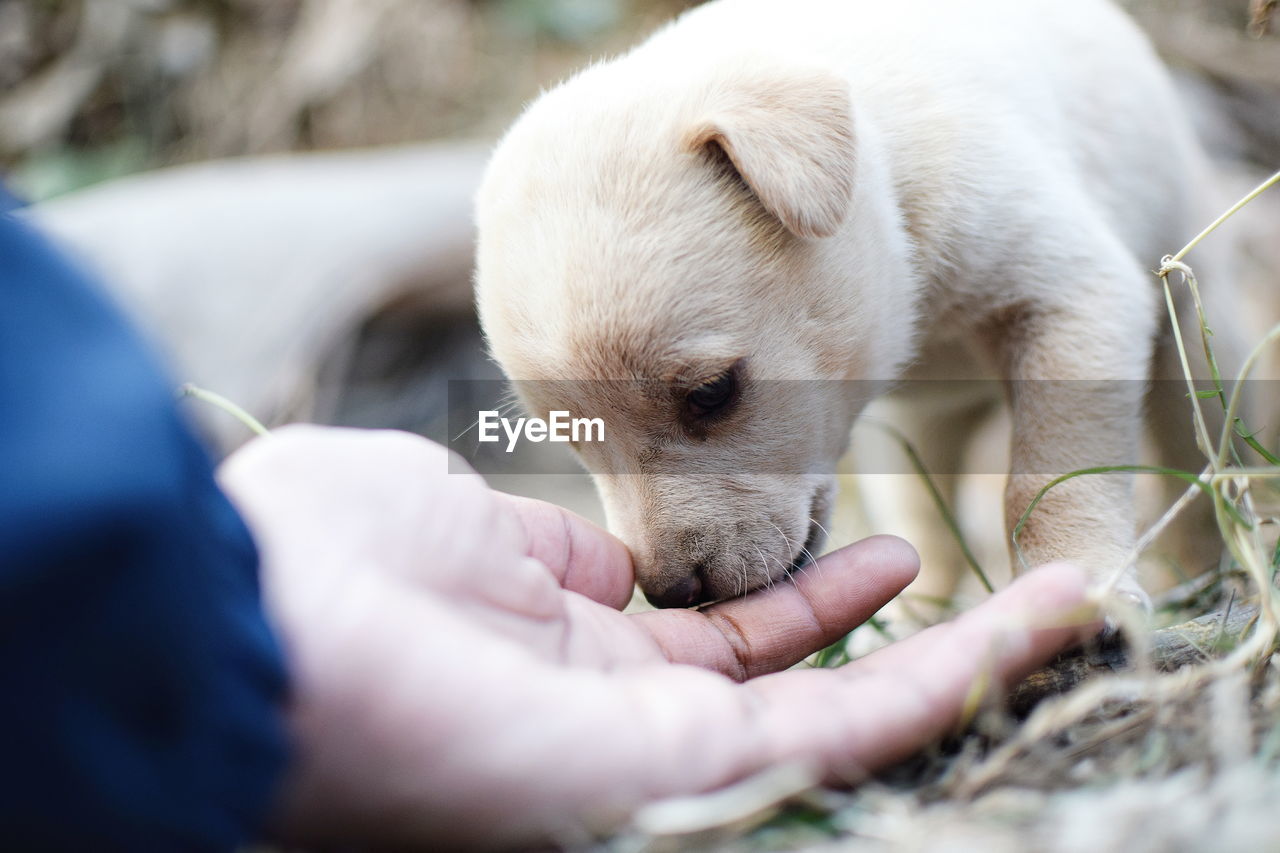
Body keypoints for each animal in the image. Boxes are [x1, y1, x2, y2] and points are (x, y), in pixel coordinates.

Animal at [476, 0, 1233, 612]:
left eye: (712, 393)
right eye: (572, 437)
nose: (671, 592)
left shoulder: (1063, 286)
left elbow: (1054, 468)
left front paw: (1080, 582)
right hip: (915, 427)